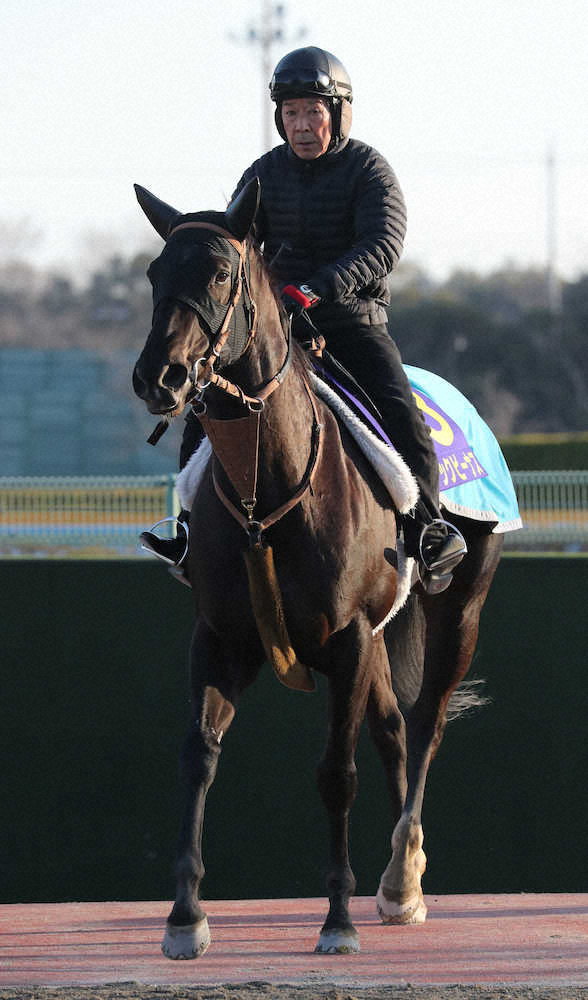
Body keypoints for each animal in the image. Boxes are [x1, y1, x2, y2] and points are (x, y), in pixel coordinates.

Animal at [132, 177, 504, 958]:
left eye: (220, 273)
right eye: (154, 273)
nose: (160, 377)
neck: (264, 494)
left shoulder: (348, 639)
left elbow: (337, 772)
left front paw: (337, 919)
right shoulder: (222, 637)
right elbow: (198, 754)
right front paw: (185, 916)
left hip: (461, 606)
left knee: (425, 723)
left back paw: (400, 876)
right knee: (393, 725)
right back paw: (401, 879)